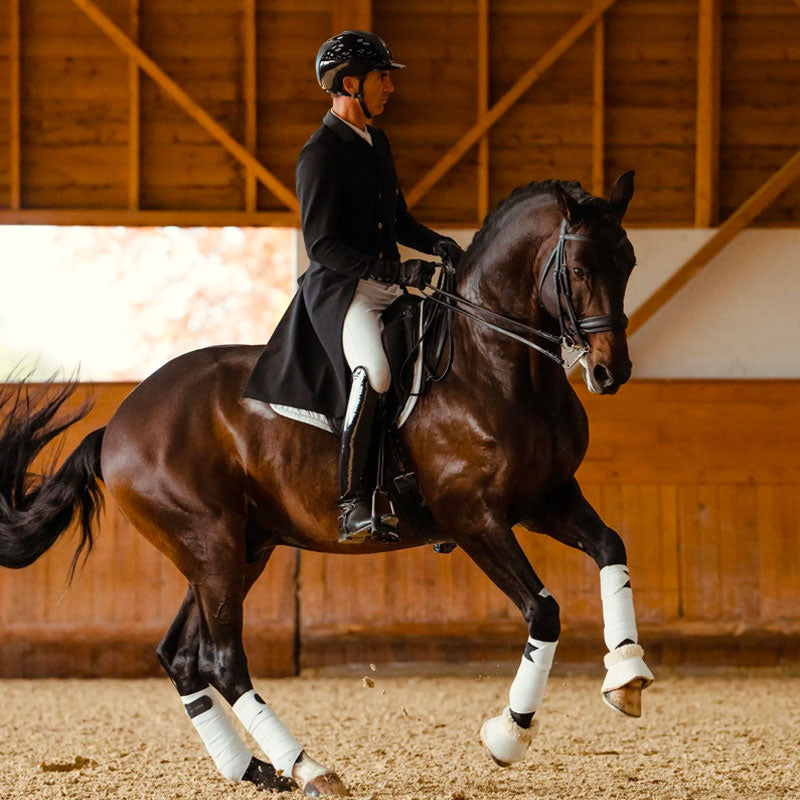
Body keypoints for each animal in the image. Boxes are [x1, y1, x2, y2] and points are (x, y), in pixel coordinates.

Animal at [0, 172, 653, 797]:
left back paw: (255, 770)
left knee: (182, 656)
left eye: (628, 262)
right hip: (211, 548)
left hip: (238, 550)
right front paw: (508, 734)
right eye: (577, 268)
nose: (609, 372)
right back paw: (308, 768)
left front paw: (626, 676)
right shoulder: (474, 518)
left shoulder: (545, 499)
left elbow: (611, 547)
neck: (495, 364)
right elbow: (543, 612)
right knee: (222, 659)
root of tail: (118, 425)